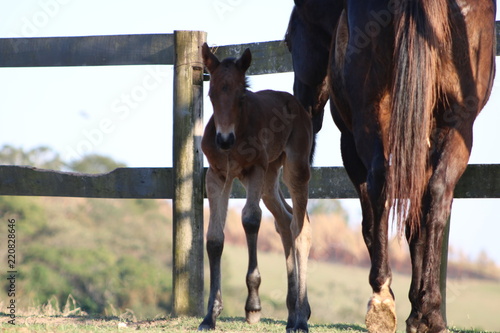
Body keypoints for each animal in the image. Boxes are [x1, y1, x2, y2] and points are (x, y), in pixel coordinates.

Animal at [198, 42, 312, 330]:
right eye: (211, 94)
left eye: (240, 97)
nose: (224, 139)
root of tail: (295, 103)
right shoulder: (217, 176)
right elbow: (214, 239)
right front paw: (210, 315)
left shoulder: (254, 171)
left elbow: (250, 220)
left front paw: (253, 306)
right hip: (270, 178)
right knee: (285, 223)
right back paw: (294, 312)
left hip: (294, 168)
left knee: (301, 229)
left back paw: (300, 318)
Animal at [326, 1, 494, 330]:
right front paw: (418, 308)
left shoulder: (351, 141)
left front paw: (412, 306)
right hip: (455, 124)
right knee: (431, 195)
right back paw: (423, 309)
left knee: (390, 186)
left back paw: (387, 300)